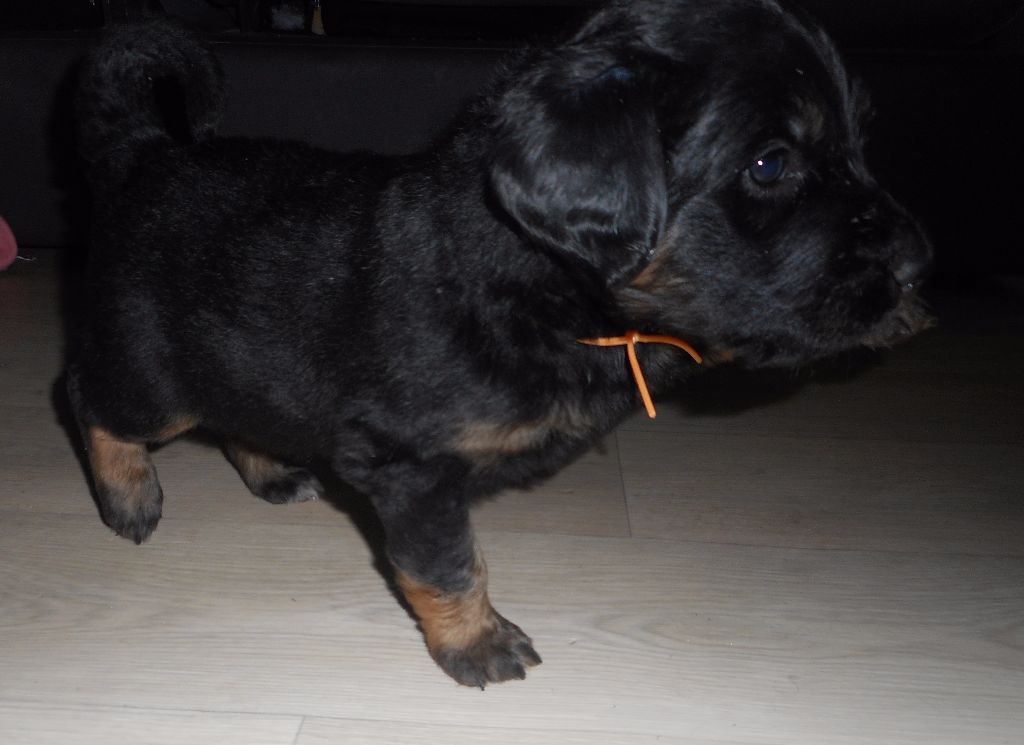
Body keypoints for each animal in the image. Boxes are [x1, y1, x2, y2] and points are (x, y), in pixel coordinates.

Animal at [67, 0, 932, 687]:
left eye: (860, 142)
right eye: (770, 162)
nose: (919, 265)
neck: (540, 287)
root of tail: (148, 150)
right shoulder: (411, 465)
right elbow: (449, 563)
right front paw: (478, 643)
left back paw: (272, 471)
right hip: (151, 369)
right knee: (87, 397)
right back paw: (129, 494)